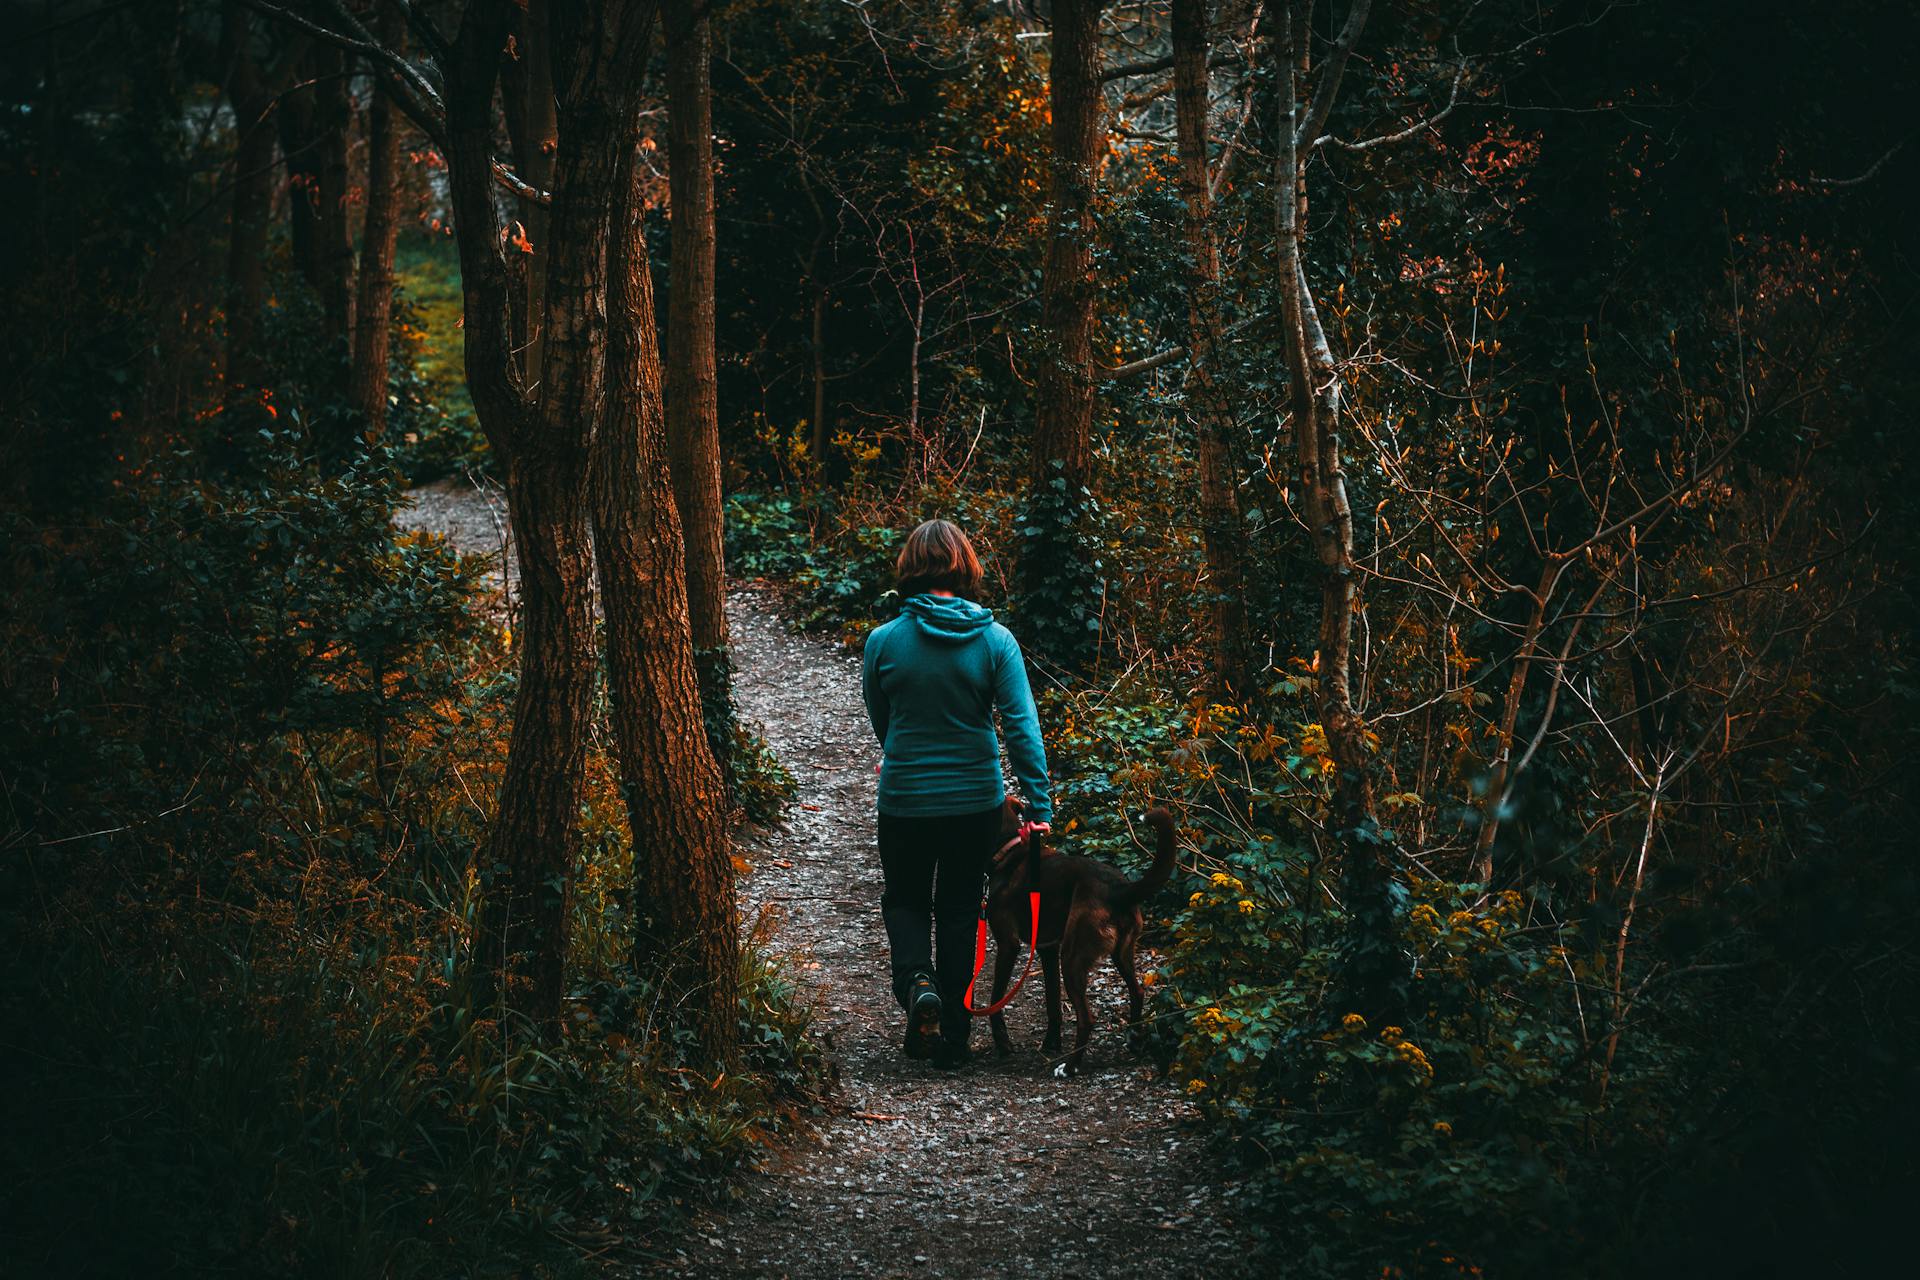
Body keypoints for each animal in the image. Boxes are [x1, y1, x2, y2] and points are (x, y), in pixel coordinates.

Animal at [983, 805, 1175, 1074]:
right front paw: (1051, 1042)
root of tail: (1118, 889)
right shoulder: (1048, 949)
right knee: (1137, 991)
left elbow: (996, 999)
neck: (1009, 850)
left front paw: (1003, 1043)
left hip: (1072, 958)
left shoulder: (1008, 944)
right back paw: (1134, 1039)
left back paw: (1070, 1067)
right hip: (1121, 952)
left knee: (1087, 1018)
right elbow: (1053, 1001)